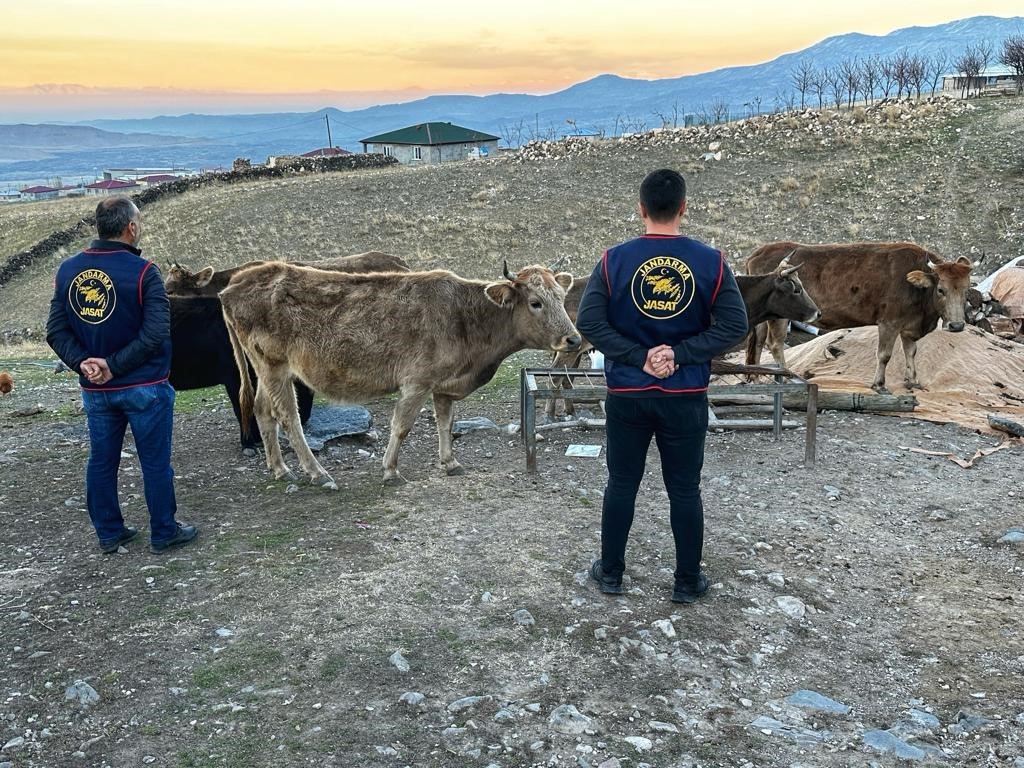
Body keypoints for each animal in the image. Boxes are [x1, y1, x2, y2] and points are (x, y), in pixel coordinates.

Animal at [745, 240, 966, 393]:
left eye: (966, 289)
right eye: (941, 289)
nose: (956, 325)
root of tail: (758, 252)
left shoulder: (909, 326)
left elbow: (911, 352)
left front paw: (913, 382)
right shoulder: (889, 322)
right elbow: (884, 354)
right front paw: (879, 385)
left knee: (758, 342)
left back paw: (754, 378)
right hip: (780, 316)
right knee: (775, 344)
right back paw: (784, 377)